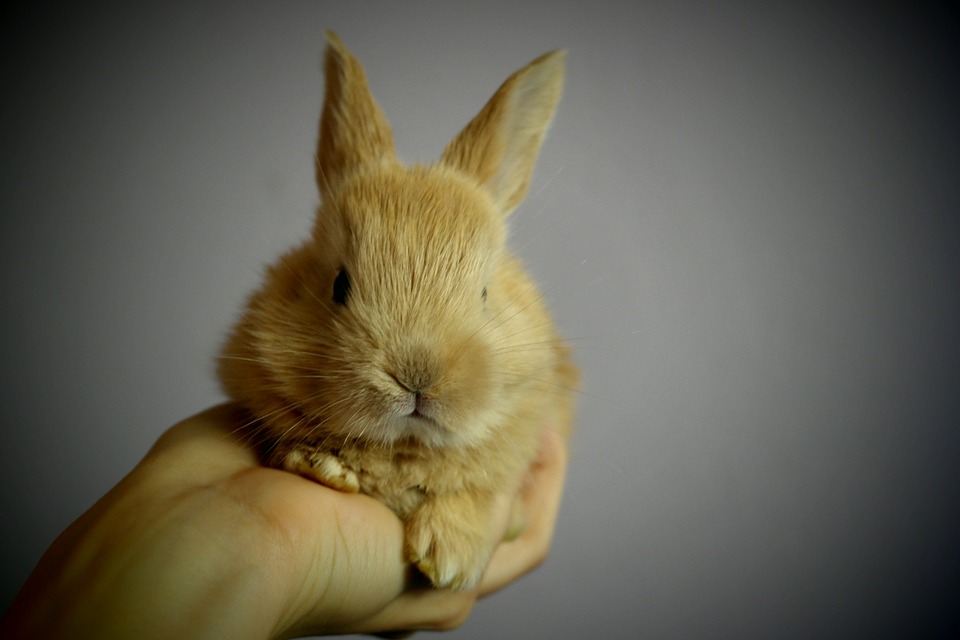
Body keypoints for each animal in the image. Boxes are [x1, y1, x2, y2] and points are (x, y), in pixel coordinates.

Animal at [218, 31, 576, 592]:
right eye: (339, 284)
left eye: (484, 293)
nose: (416, 377)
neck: (406, 448)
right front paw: (321, 468)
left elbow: (481, 490)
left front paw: (448, 558)